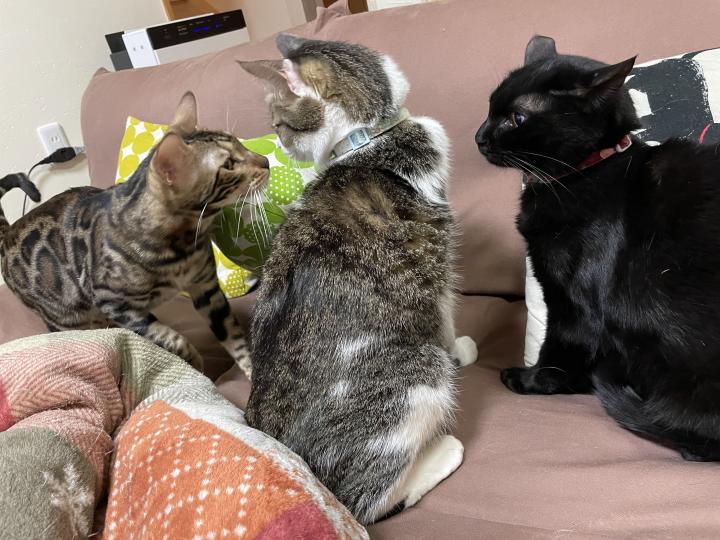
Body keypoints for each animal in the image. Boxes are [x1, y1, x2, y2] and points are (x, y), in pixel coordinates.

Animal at [0, 92, 268, 377]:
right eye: (229, 165)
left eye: (239, 143)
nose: (266, 161)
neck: (183, 244)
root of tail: (7, 233)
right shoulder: (114, 302)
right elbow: (173, 339)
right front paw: (194, 363)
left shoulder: (206, 288)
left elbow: (234, 337)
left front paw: (251, 372)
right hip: (68, 318)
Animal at [239, 34, 478, 524]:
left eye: (280, 125)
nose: (279, 152)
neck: (367, 139)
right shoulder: (436, 260)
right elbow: (445, 314)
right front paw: (461, 350)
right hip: (418, 379)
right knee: (364, 499)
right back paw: (443, 453)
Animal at [476, 35, 720, 461]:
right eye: (491, 106)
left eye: (517, 119)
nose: (479, 136)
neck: (584, 172)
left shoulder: (571, 300)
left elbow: (560, 345)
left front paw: (530, 380)